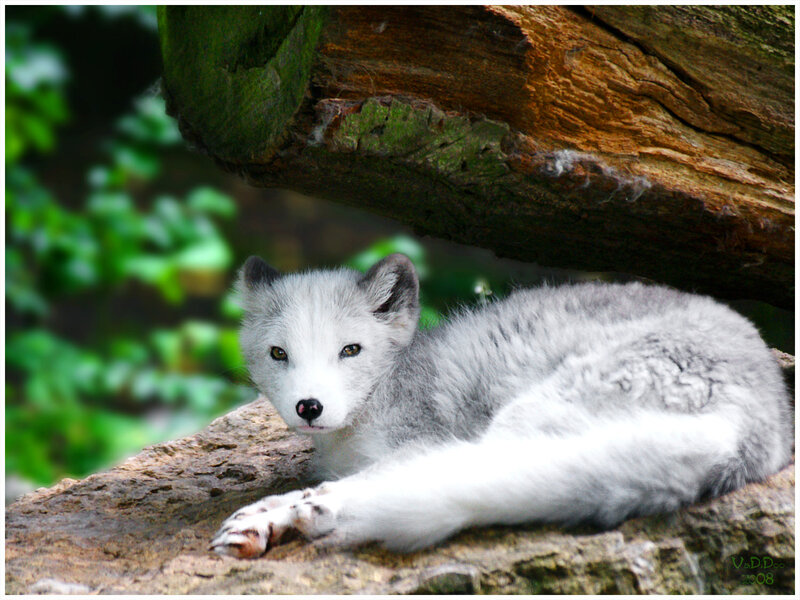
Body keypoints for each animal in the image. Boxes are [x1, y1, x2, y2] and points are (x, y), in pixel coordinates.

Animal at [210, 253, 792, 558]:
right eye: (278, 354)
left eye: (350, 350)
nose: (309, 407)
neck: (389, 383)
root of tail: (756, 424)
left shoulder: (417, 438)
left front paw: (270, 511)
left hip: (523, 420)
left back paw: (306, 513)